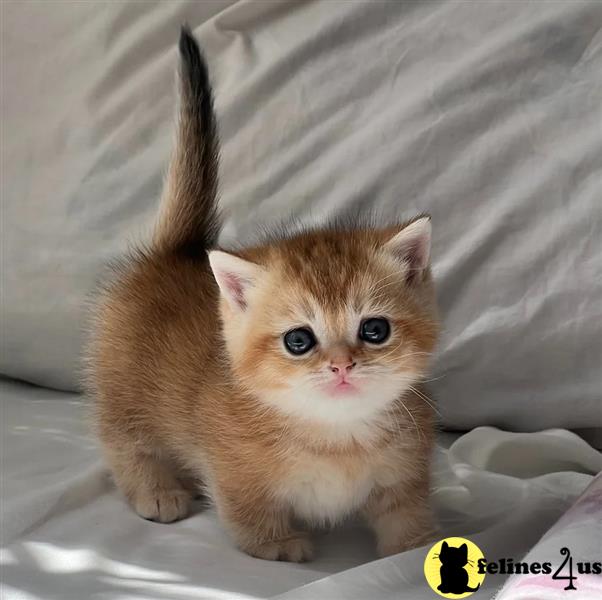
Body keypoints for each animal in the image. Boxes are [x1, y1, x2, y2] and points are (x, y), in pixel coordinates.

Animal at [88, 28, 436, 564]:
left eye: (374, 330)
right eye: (299, 340)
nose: (342, 365)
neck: (337, 438)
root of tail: (177, 250)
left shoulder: (405, 473)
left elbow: (406, 513)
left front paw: (415, 548)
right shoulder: (233, 469)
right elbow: (247, 511)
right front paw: (276, 543)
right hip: (124, 395)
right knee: (125, 441)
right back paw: (157, 490)